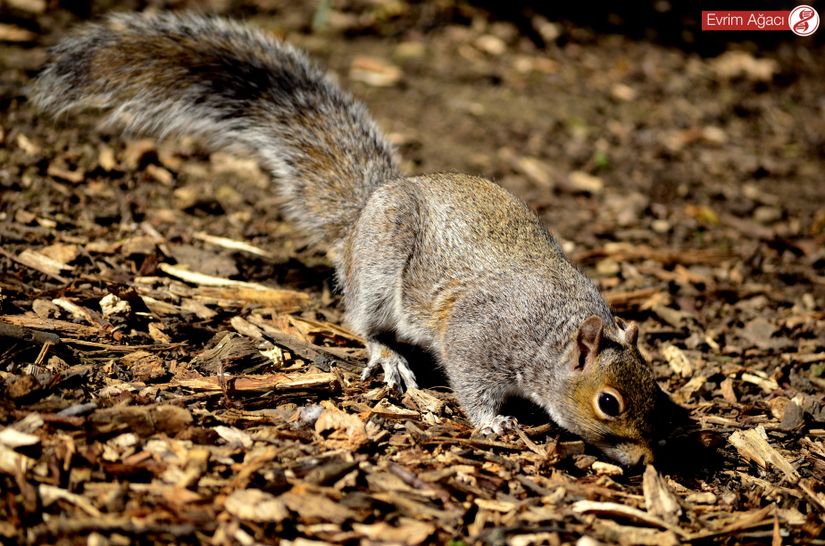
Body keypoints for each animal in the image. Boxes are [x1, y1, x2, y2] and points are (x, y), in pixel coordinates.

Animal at [32, 10, 676, 464]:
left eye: (654, 395)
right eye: (609, 403)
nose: (646, 459)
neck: (550, 332)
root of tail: (365, 210)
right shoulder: (479, 335)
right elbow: (471, 383)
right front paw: (493, 423)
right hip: (379, 270)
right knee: (363, 321)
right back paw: (388, 355)